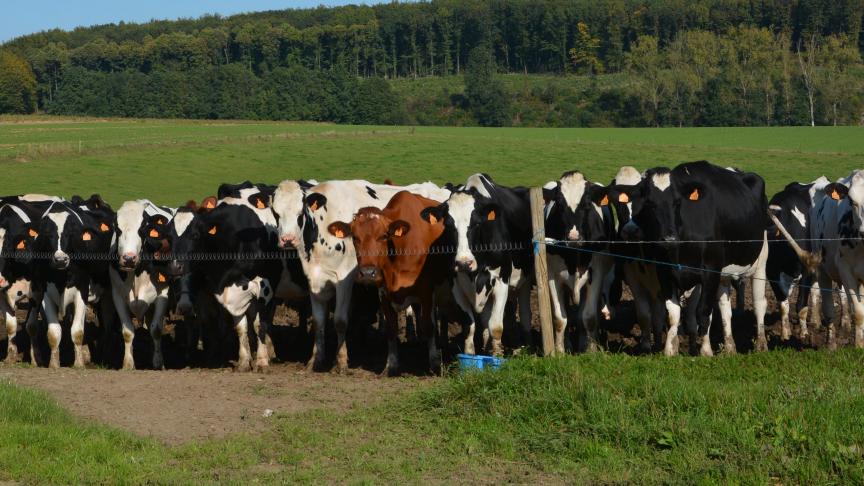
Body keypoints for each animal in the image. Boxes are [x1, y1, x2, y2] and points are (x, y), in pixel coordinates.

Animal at [109, 197, 177, 368]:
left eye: (142, 228)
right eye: (117, 228)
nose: (128, 258)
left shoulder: (163, 294)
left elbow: (156, 329)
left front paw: (158, 362)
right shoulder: (117, 296)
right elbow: (127, 331)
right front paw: (128, 363)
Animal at [330, 190, 456, 376]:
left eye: (383, 236)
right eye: (355, 237)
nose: (368, 273)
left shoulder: (426, 291)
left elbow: (429, 326)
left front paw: (434, 364)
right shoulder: (384, 293)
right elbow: (391, 330)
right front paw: (392, 365)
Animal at [420, 173, 532, 356]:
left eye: (477, 223)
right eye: (448, 225)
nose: (464, 262)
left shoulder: (502, 280)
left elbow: (496, 326)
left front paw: (497, 356)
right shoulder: (456, 284)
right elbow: (469, 325)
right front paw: (470, 355)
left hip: (525, 279)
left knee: (523, 312)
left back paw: (522, 347)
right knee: (485, 318)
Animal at [540, 172, 616, 354]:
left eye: (587, 204)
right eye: (559, 204)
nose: (573, 237)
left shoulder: (596, 274)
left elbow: (589, 317)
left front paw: (591, 351)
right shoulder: (552, 276)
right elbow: (560, 318)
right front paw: (559, 352)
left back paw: (583, 343)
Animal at [620, 161, 768, 356]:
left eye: (677, 202)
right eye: (649, 204)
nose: (669, 238)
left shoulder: (710, 272)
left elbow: (703, 313)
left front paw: (705, 351)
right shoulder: (665, 272)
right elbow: (673, 312)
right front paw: (670, 350)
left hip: (760, 263)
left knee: (759, 304)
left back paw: (761, 345)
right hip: (724, 274)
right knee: (725, 309)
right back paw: (730, 348)